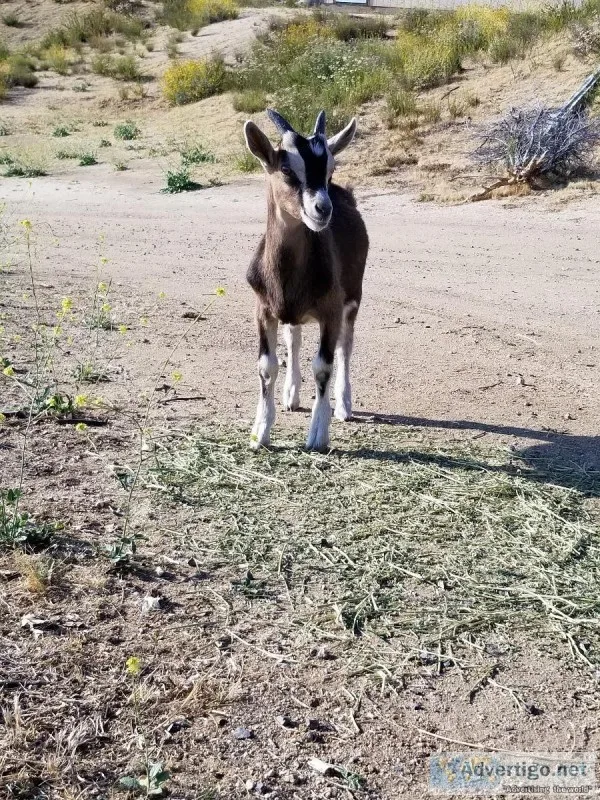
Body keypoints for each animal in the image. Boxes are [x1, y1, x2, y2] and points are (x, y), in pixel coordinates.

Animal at [243, 108, 369, 451]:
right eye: (286, 168)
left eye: (330, 169)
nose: (322, 209)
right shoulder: (263, 309)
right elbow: (267, 366)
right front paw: (260, 432)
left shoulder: (331, 310)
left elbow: (323, 365)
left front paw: (318, 434)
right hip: (292, 313)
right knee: (294, 339)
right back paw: (291, 395)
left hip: (353, 299)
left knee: (345, 347)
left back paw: (344, 405)